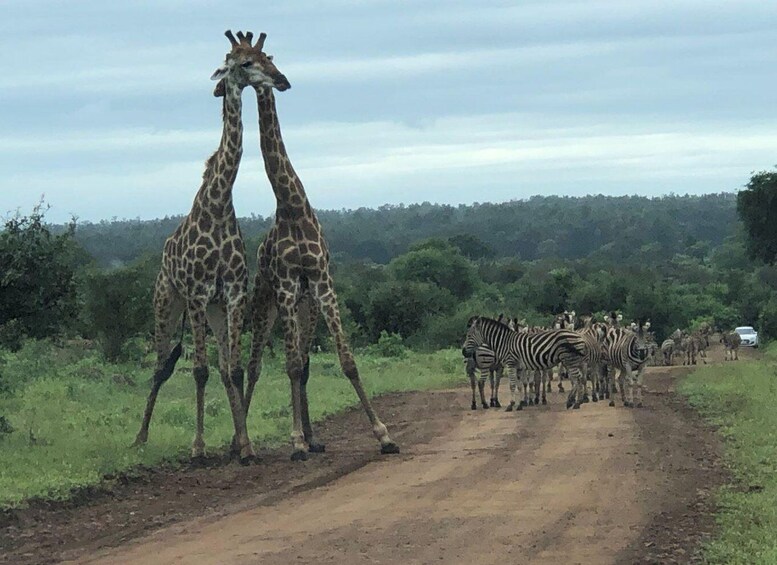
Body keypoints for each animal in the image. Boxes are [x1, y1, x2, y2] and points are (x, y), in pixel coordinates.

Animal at [133, 31, 290, 464]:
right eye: (245, 63)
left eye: (267, 58)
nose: (282, 80)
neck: (219, 205)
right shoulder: (198, 295)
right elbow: (200, 371)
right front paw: (198, 447)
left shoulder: (232, 295)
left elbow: (231, 369)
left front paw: (245, 445)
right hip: (167, 302)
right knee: (160, 365)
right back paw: (140, 437)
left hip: (216, 312)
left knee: (218, 365)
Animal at [238, 43, 399, 460]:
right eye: (250, 63)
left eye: (270, 60)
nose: (282, 80)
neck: (292, 207)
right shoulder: (287, 287)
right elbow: (290, 367)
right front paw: (295, 441)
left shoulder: (322, 284)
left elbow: (346, 361)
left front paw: (383, 435)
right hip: (267, 304)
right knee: (255, 364)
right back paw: (241, 443)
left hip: (304, 307)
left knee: (305, 362)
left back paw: (313, 438)